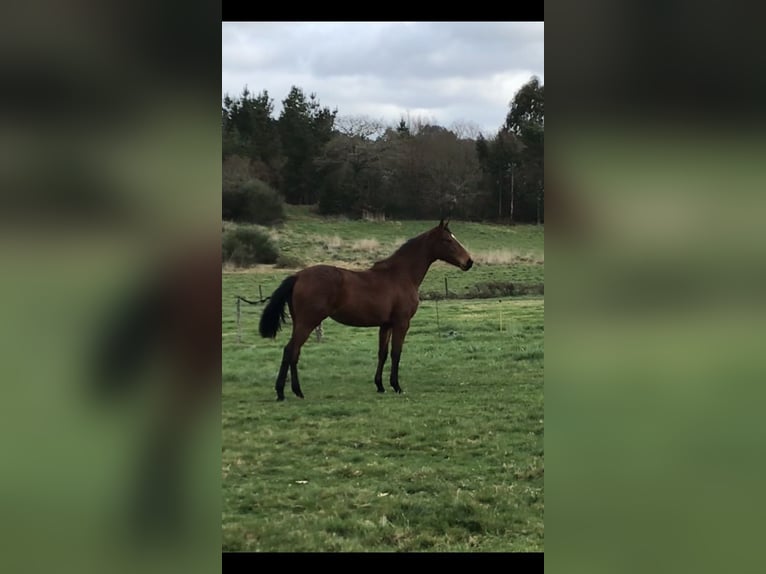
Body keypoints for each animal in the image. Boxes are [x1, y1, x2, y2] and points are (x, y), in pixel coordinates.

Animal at [260, 218, 474, 402]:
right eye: (447, 240)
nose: (469, 262)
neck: (401, 275)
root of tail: (297, 276)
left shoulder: (385, 325)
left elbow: (383, 353)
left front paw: (380, 385)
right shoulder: (401, 323)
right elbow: (396, 353)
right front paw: (396, 386)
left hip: (301, 323)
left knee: (294, 353)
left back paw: (296, 391)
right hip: (308, 322)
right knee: (291, 350)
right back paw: (283, 392)